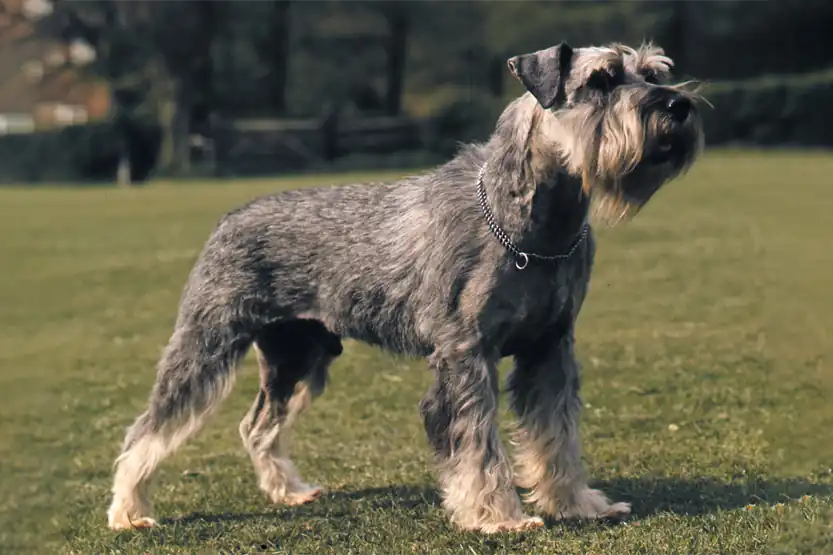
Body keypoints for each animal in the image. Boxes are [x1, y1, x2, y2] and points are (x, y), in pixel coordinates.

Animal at [107, 41, 704, 536]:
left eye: (655, 72)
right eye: (602, 79)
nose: (678, 106)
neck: (537, 222)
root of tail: (229, 218)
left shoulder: (550, 350)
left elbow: (557, 435)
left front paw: (578, 504)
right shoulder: (465, 356)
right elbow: (477, 443)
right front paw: (497, 517)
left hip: (298, 356)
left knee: (258, 426)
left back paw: (289, 492)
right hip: (206, 346)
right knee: (148, 430)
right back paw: (129, 511)